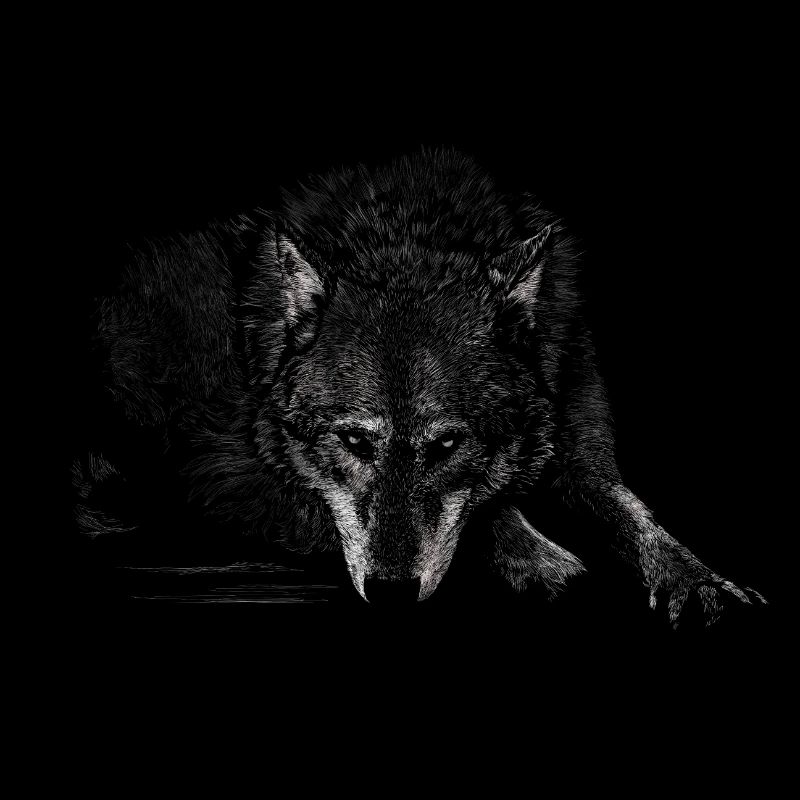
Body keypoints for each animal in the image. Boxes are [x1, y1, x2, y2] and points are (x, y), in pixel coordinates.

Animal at [74, 148, 765, 623]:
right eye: (354, 442)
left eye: (447, 446)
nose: (390, 593)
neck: (409, 236)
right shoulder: (225, 474)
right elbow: (492, 512)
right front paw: (545, 561)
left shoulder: (585, 460)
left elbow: (637, 516)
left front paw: (699, 580)